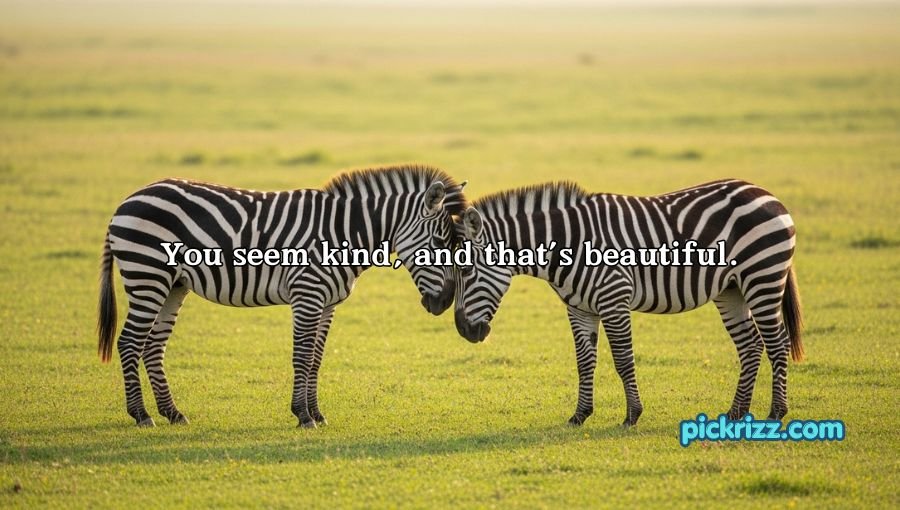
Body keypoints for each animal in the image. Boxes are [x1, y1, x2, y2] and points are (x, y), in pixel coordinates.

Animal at [97, 165, 467, 428]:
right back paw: (141, 415)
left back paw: (172, 413)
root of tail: (127, 200)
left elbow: (316, 358)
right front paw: (302, 415)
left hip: (173, 285)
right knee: (129, 342)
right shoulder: (307, 294)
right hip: (148, 275)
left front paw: (317, 413)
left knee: (152, 346)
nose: (443, 304)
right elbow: (301, 355)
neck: (345, 232)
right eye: (439, 242)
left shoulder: (328, 302)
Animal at [453, 179, 803, 427]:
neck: (567, 243)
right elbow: (584, 362)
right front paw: (580, 415)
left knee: (777, 342)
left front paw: (632, 415)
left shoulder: (614, 300)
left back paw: (776, 412)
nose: (464, 331)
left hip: (762, 277)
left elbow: (623, 360)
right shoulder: (579, 309)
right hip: (731, 290)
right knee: (751, 345)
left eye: (466, 270)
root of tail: (765, 192)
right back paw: (736, 412)